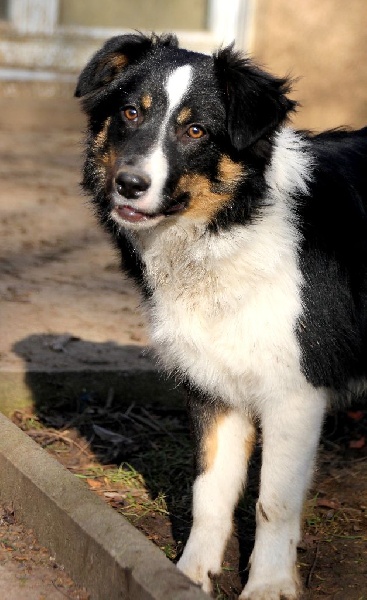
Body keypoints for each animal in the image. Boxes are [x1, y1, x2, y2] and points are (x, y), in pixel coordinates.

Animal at [75, 34, 367, 600]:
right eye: (130, 112)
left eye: (196, 131)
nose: (129, 184)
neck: (232, 226)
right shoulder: (214, 385)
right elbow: (210, 492)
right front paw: (189, 575)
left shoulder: (296, 391)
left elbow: (273, 501)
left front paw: (270, 585)